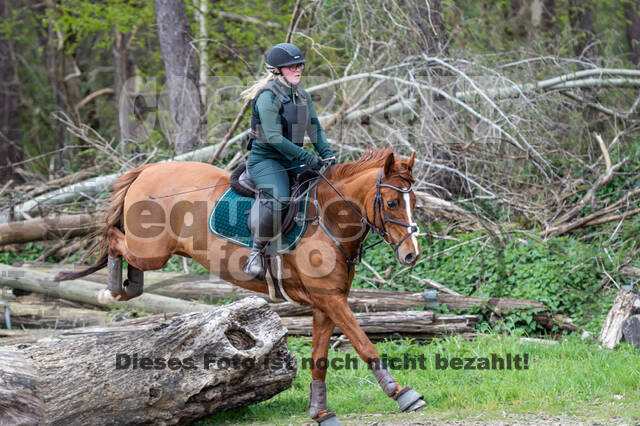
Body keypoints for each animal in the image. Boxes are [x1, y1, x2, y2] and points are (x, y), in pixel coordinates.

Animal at [55, 148, 424, 424]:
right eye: (392, 203)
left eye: (414, 203)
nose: (411, 255)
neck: (328, 220)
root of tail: (148, 170)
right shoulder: (331, 300)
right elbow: (365, 345)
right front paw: (402, 394)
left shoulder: (326, 302)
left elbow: (320, 358)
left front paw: (320, 412)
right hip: (151, 252)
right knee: (113, 238)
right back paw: (110, 289)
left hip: (151, 254)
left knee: (124, 257)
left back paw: (125, 287)